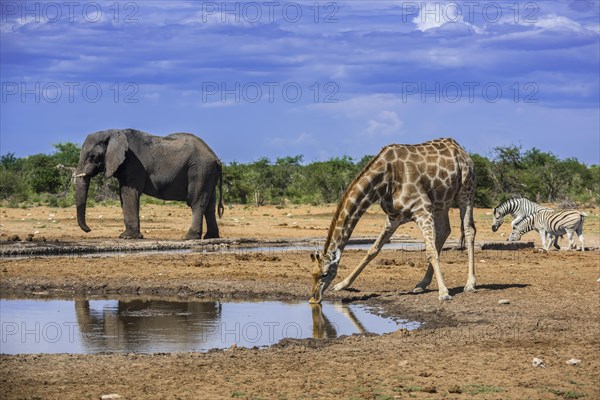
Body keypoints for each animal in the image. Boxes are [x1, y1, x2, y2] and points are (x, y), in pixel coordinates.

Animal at [74, 130, 224, 239]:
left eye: (92, 156)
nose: (89, 230)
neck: (111, 132)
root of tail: (216, 158)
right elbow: (123, 195)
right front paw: (126, 236)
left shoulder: (133, 162)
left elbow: (128, 192)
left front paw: (128, 237)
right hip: (208, 173)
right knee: (209, 204)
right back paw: (211, 237)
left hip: (200, 171)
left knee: (196, 202)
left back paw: (189, 237)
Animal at [312, 138, 476, 304]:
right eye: (313, 273)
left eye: (325, 274)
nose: (314, 298)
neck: (383, 181)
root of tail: (461, 150)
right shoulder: (394, 217)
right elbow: (373, 250)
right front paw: (342, 285)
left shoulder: (422, 209)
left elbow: (430, 252)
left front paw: (444, 292)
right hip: (442, 202)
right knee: (445, 231)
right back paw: (421, 284)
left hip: (465, 191)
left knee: (468, 230)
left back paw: (470, 284)